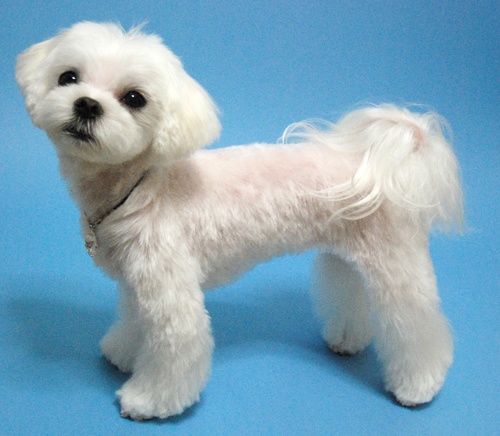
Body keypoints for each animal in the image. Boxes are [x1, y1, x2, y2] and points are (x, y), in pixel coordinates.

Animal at [15, 22, 462, 420]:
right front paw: (123, 352)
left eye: (134, 98)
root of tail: (373, 165)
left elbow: (175, 348)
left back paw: (419, 385)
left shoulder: (172, 295)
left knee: (416, 325)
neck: (144, 186)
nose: (87, 104)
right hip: (347, 256)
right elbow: (133, 321)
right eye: (68, 77)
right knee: (350, 292)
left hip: (396, 267)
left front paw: (148, 401)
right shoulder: (139, 280)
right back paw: (347, 339)